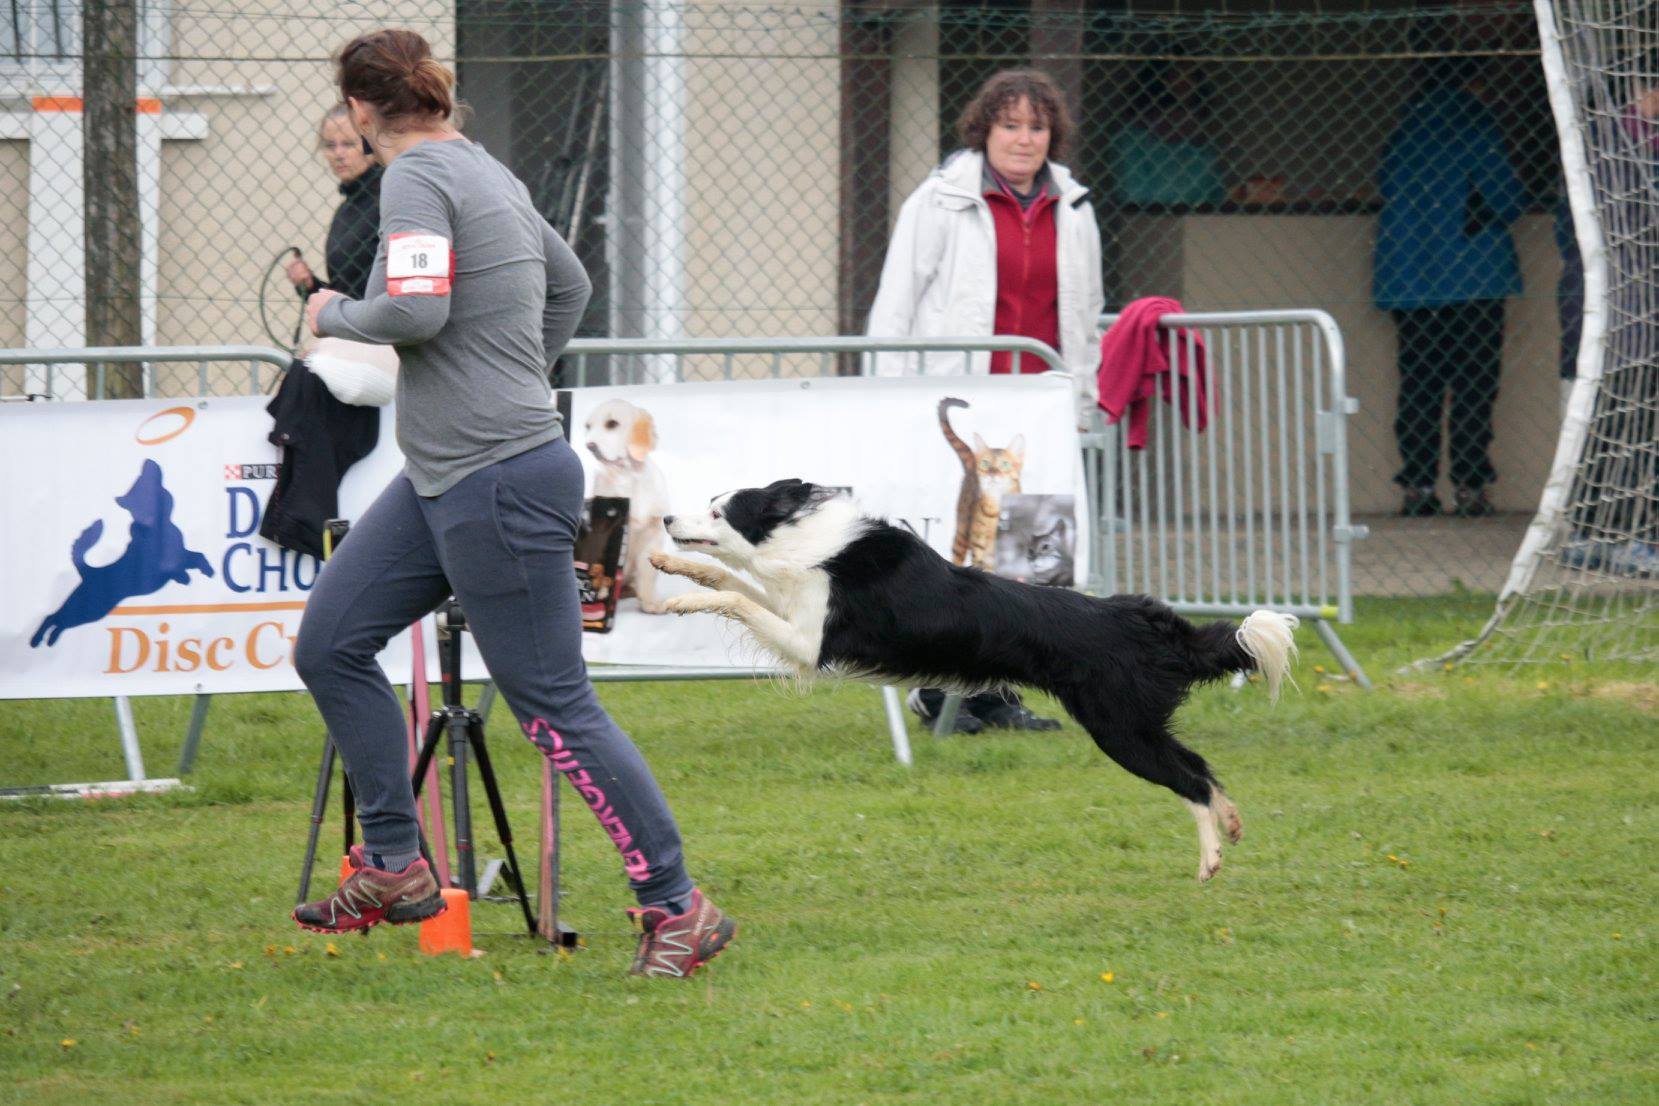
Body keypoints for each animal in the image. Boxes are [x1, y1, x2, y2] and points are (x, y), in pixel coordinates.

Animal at [653, 477, 1300, 882]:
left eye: (719, 511)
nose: (663, 516)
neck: (806, 540)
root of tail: (1141, 617)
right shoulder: (796, 615)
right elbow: (732, 581)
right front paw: (672, 566)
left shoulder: (813, 645)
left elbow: (741, 600)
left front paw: (681, 598)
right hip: (1133, 722)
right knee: (1200, 767)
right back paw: (1231, 824)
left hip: (1119, 729)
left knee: (1188, 779)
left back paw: (1210, 858)